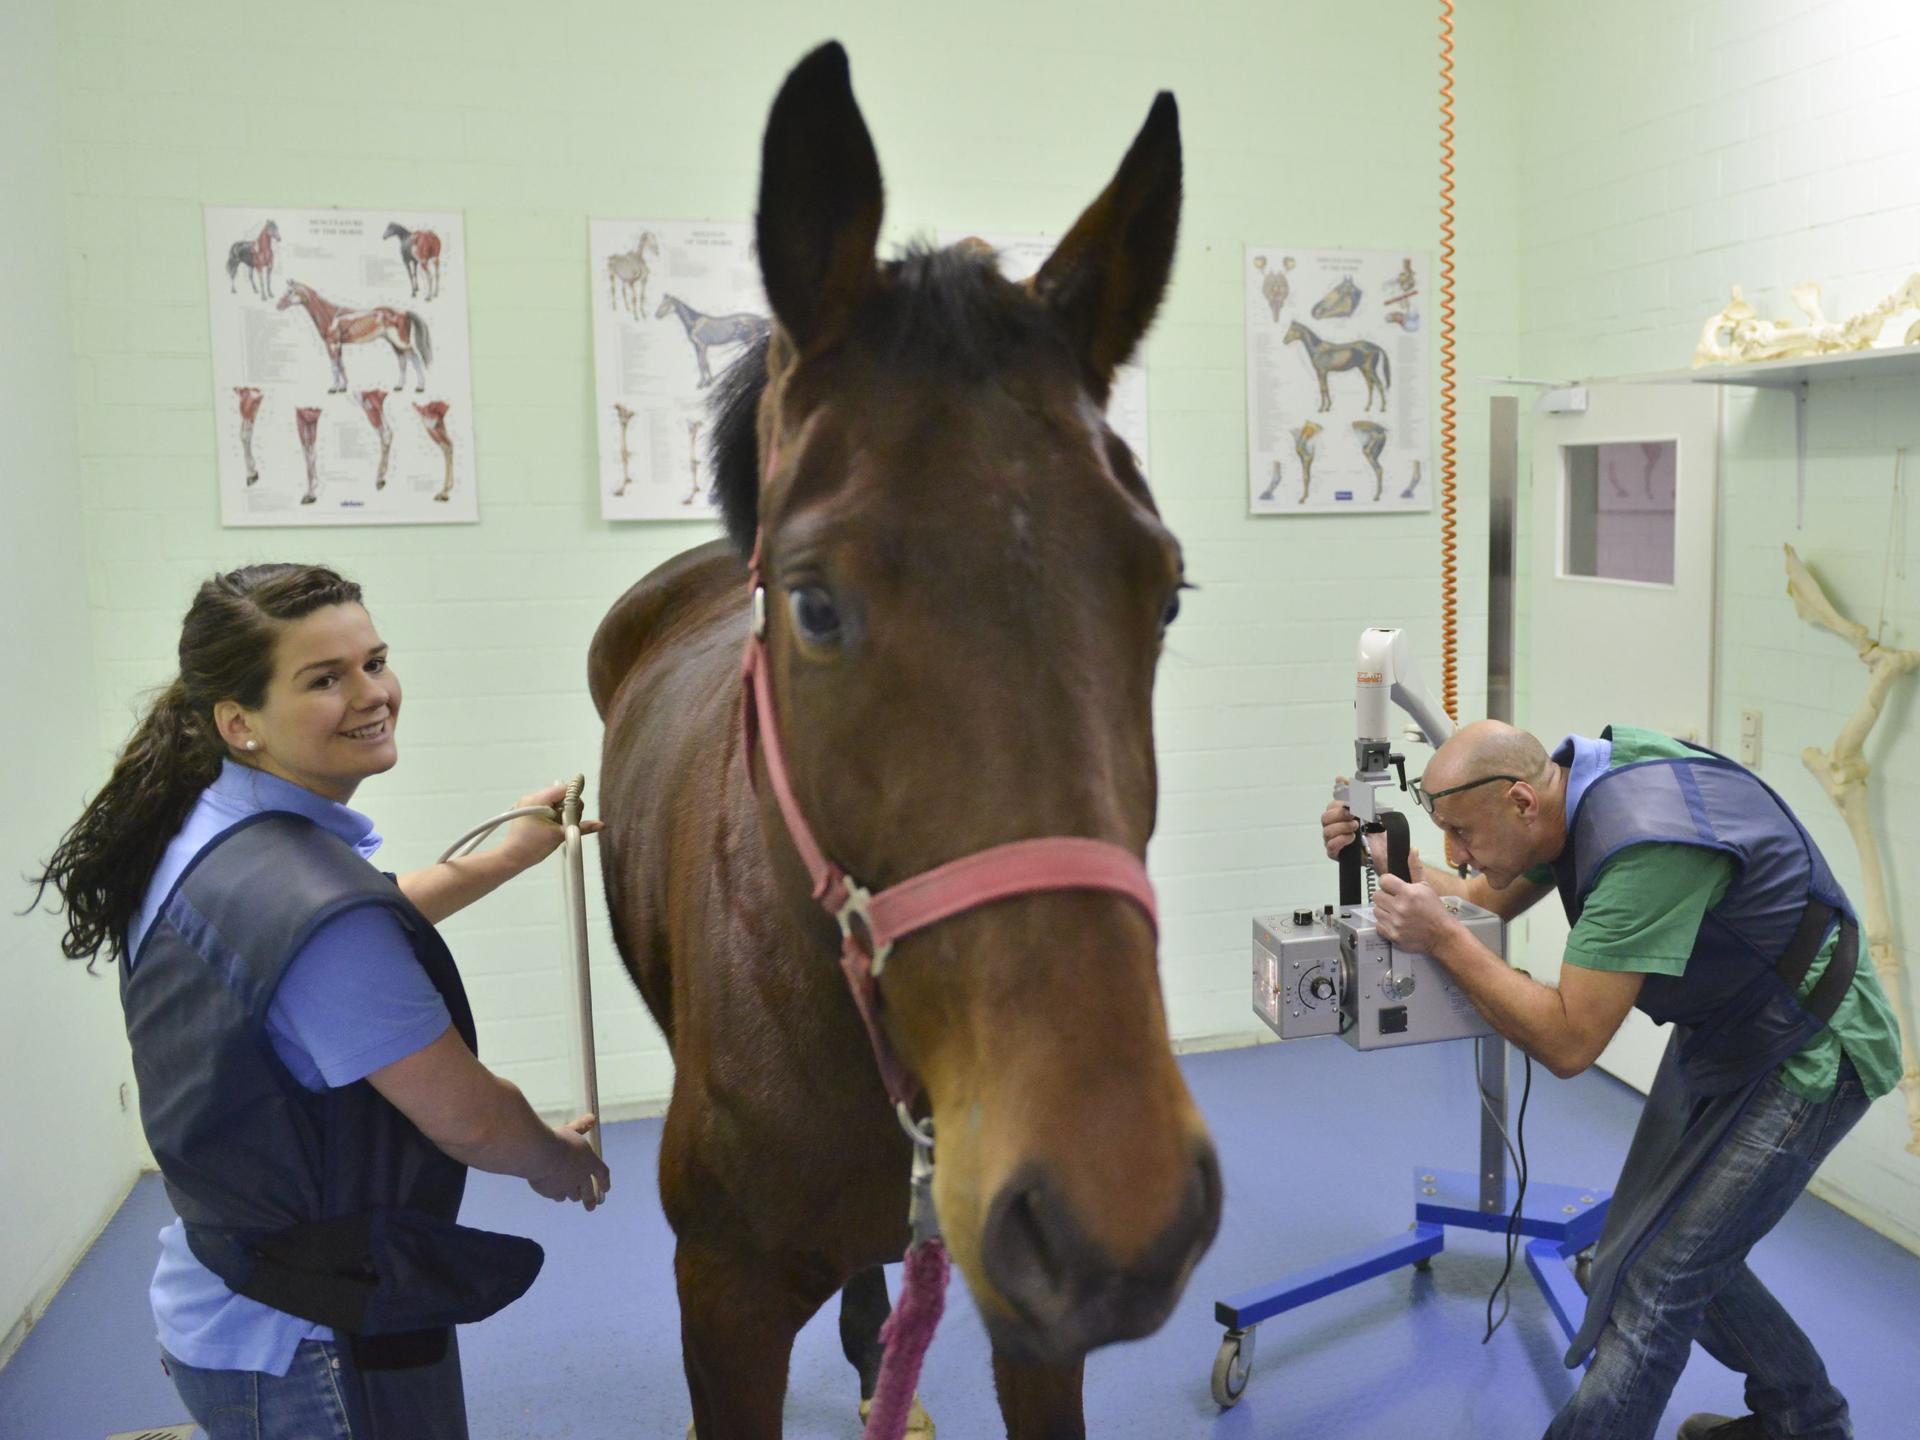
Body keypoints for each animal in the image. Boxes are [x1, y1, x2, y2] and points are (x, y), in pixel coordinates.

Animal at [276, 281, 432, 394]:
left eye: (290, 292)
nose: (278, 305)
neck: (330, 316)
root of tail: (404, 312)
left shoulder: (332, 344)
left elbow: (334, 367)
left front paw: (333, 388)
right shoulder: (338, 345)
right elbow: (341, 365)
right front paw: (343, 387)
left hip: (401, 342)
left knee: (415, 359)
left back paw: (420, 387)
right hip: (394, 343)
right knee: (402, 361)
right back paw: (399, 386)